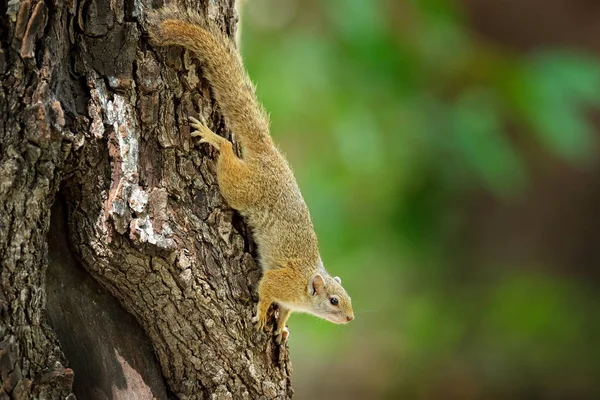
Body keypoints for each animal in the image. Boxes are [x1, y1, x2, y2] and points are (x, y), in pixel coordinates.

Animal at [148, 5, 354, 344]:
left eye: (349, 297)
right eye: (334, 300)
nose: (351, 317)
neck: (304, 289)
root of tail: (268, 153)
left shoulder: (289, 301)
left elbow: (284, 312)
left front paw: (281, 328)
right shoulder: (279, 280)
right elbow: (265, 291)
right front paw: (260, 315)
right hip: (240, 187)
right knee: (228, 154)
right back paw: (214, 138)